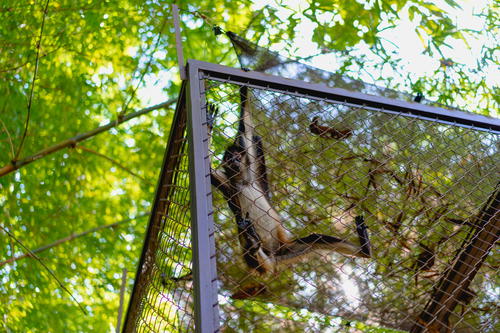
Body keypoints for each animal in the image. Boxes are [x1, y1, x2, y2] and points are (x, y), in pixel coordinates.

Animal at [209, 86, 370, 274]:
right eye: (229, 158)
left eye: (236, 157)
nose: (233, 161)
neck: (243, 182)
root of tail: (273, 256)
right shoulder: (228, 182)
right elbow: (209, 170)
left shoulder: (252, 174)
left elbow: (246, 129)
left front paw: (243, 91)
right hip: (262, 256)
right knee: (246, 239)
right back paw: (252, 243)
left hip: (287, 251)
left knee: (317, 239)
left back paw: (365, 250)